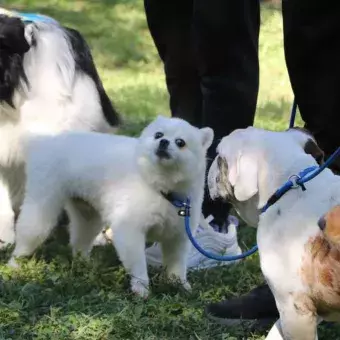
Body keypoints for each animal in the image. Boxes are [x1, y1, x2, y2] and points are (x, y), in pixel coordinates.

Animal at [9, 117, 214, 298]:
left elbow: (176, 264)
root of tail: (44, 141)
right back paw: (14, 264)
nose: (163, 142)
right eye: (158, 134)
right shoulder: (130, 229)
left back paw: (84, 264)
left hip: (87, 214)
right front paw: (141, 289)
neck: (161, 188)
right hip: (43, 202)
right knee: (29, 232)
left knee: (80, 240)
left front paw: (180, 285)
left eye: (181, 142)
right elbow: (138, 264)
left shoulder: (178, 234)